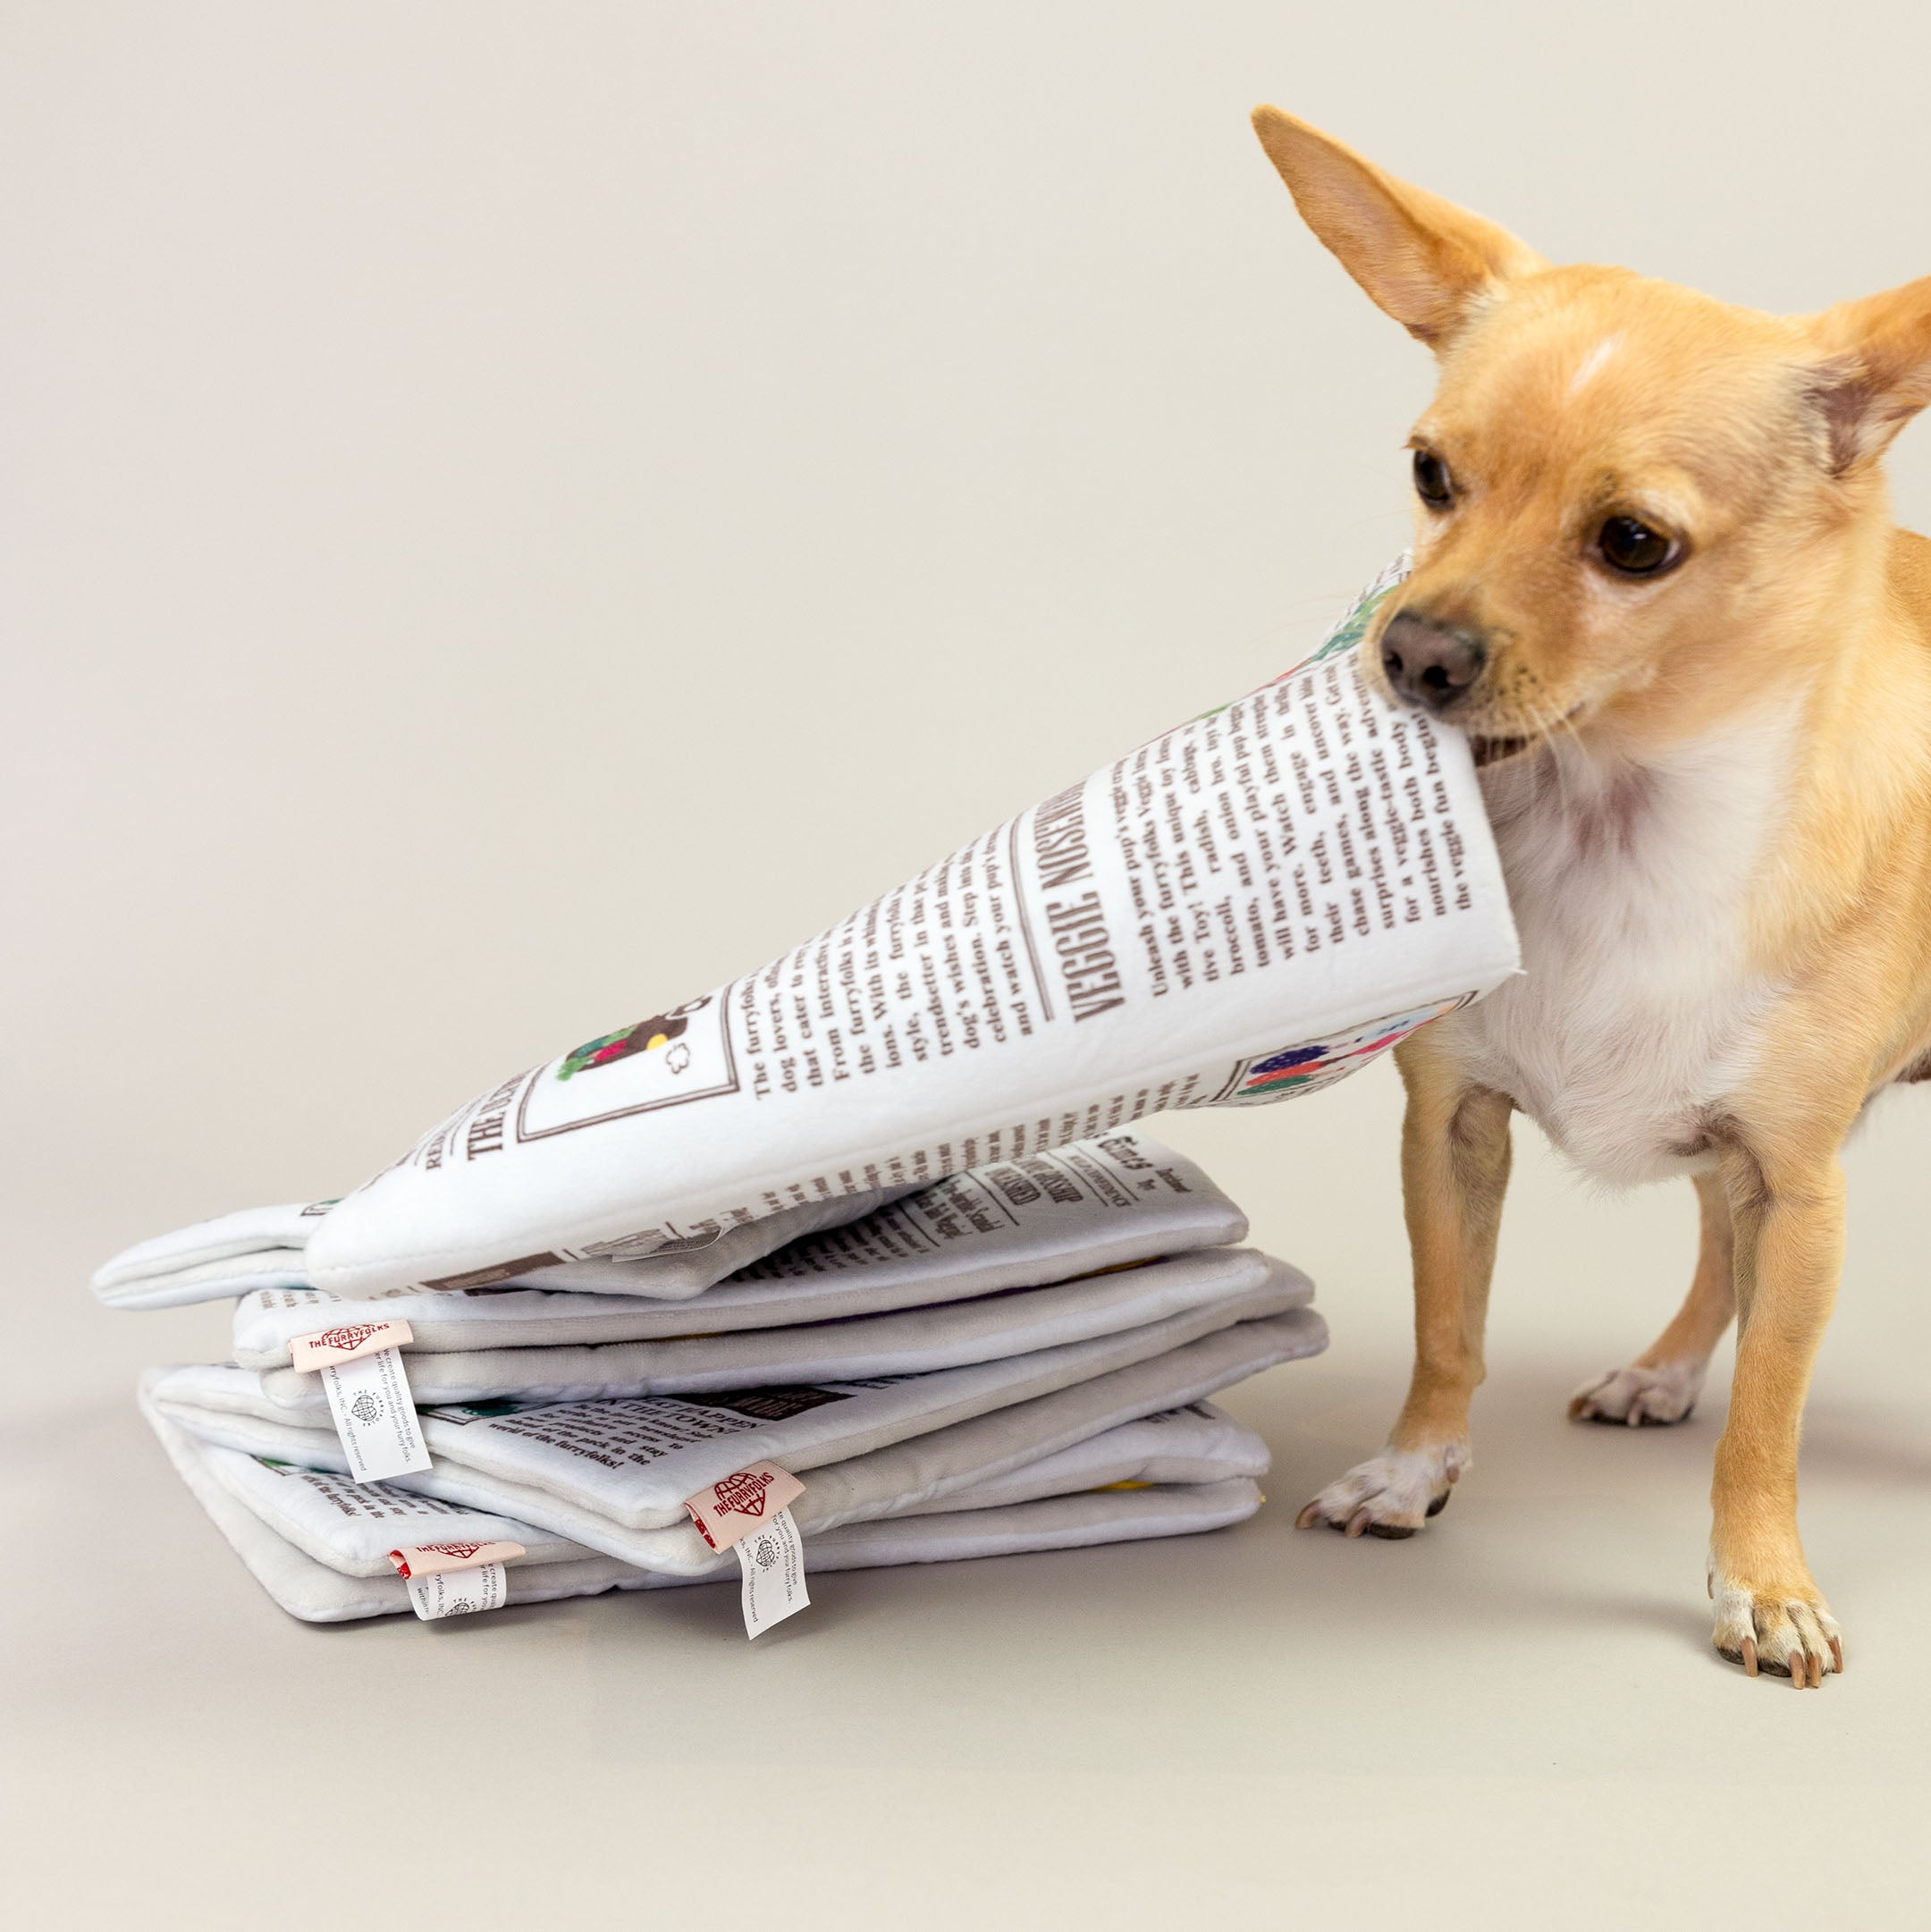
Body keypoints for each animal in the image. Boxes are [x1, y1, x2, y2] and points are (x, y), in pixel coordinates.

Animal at [1251, 105, 1931, 1684]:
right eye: (1432, 474)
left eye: (1635, 543)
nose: (1413, 650)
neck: (1612, 825)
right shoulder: (1453, 1129)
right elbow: (1451, 1326)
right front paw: (1414, 1469)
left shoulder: (1805, 1187)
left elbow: (1771, 1421)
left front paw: (1762, 1579)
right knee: (1712, 1241)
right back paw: (1666, 1370)